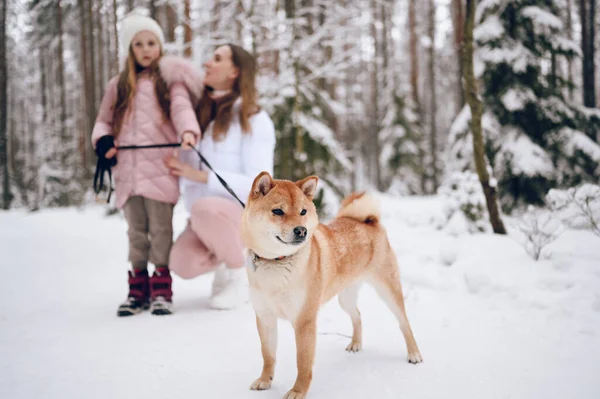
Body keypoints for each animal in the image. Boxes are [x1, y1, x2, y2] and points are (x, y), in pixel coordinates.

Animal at [240, 173, 422, 399]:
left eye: (303, 212)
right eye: (278, 211)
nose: (301, 230)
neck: (276, 262)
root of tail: (369, 222)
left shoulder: (304, 322)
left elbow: (303, 363)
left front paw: (298, 391)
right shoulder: (265, 318)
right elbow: (268, 355)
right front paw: (265, 380)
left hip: (387, 289)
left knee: (404, 322)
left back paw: (414, 353)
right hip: (345, 298)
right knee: (357, 315)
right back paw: (355, 343)